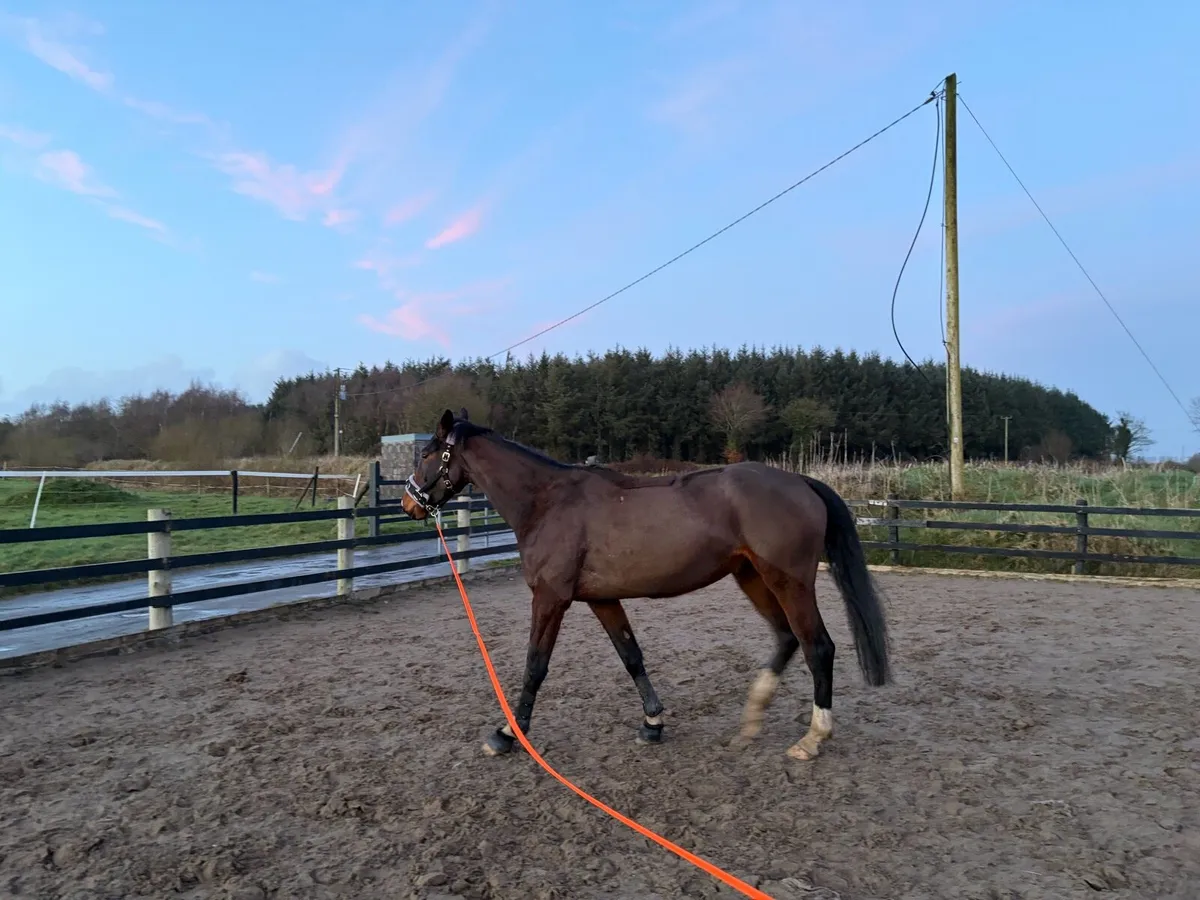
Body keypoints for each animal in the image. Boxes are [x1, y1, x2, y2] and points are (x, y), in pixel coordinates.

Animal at [400, 408, 891, 761]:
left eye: (425, 454)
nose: (409, 503)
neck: (547, 501)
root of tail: (801, 481)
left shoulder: (551, 599)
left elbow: (535, 665)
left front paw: (508, 733)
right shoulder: (602, 599)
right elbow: (631, 655)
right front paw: (652, 723)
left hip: (788, 582)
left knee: (817, 646)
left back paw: (813, 738)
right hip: (751, 576)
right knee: (787, 638)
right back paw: (750, 721)